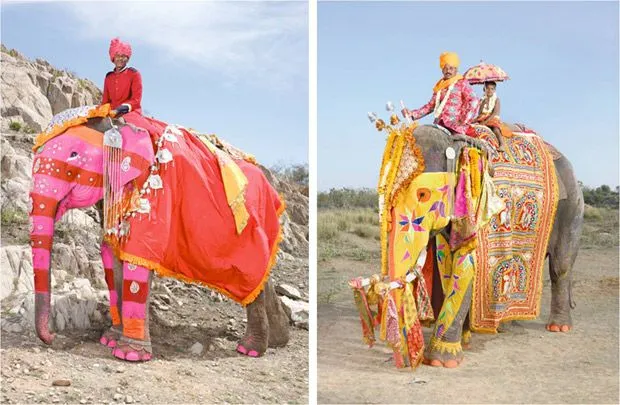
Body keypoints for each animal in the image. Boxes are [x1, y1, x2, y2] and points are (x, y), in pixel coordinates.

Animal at [29, 107, 290, 360]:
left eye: (73, 154)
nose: (52, 337)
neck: (118, 121)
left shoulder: (157, 193)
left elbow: (138, 253)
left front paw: (129, 354)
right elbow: (112, 254)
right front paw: (109, 339)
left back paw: (250, 349)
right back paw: (278, 340)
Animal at [376, 123, 584, 366]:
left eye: (423, 194)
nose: (405, 361)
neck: (454, 140)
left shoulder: (481, 206)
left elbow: (467, 266)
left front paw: (441, 360)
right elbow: (449, 265)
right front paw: (464, 341)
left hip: (573, 208)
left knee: (561, 266)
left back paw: (558, 327)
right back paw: (506, 326)